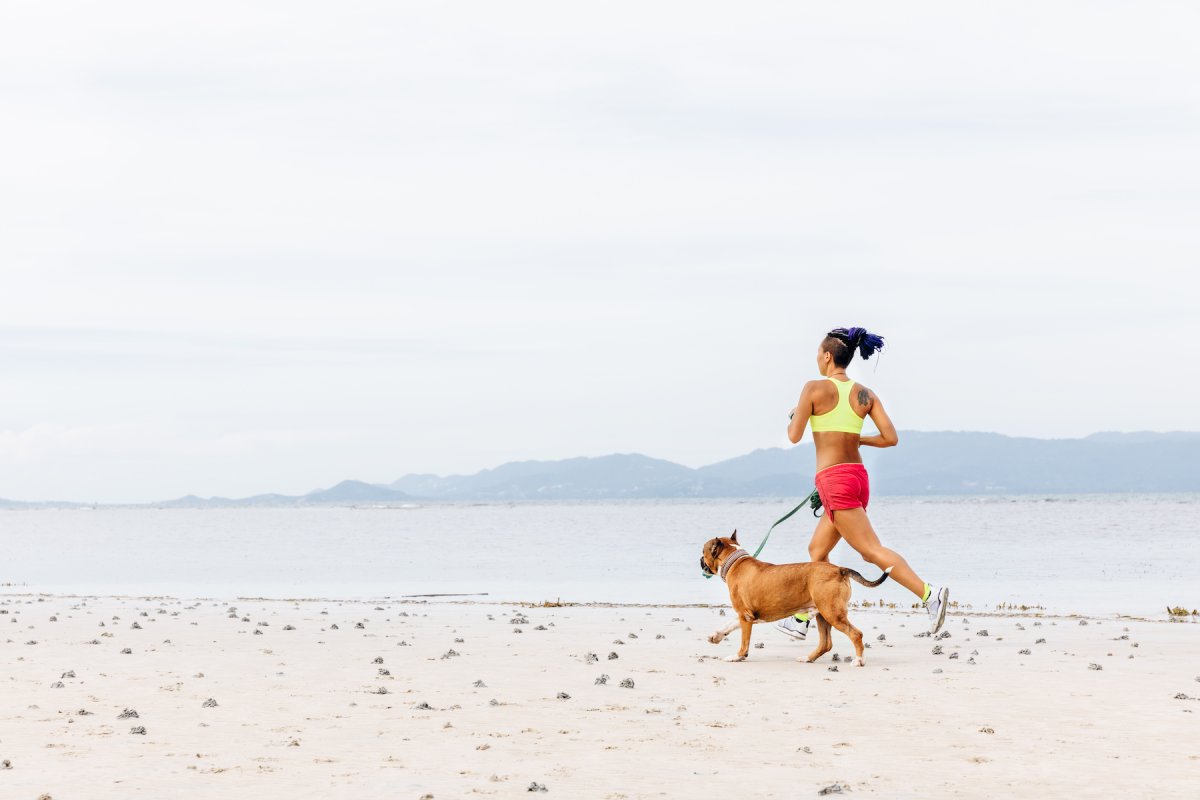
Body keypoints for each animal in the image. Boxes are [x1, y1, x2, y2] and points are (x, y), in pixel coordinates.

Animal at [700, 527, 888, 666]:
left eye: (703, 552)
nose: (700, 560)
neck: (734, 561)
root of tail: (839, 569)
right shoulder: (744, 615)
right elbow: (728, 625)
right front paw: (716, 636)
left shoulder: (745, 617)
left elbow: (744, 641)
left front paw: (738, 656)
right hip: (823, 614)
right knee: (826, 643)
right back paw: (808, 658)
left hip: (832, 614)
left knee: (855, 634)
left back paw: (859, 660)